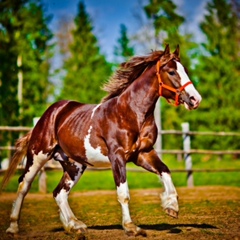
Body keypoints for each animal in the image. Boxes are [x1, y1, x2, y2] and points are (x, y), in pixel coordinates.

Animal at [1, 44, 201, 236]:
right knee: (23, 185)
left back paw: (75, 226)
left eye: (185, 70)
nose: (195, 99)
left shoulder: (143, 154)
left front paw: (171, 206)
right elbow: (123, 193)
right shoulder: (117, 156)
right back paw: (13, 228)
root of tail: (50, 113)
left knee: (59, 193)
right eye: (172, 72)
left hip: (74, 165)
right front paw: (131, 227)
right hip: (38, 155)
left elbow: (165, 171)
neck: (130, 113)